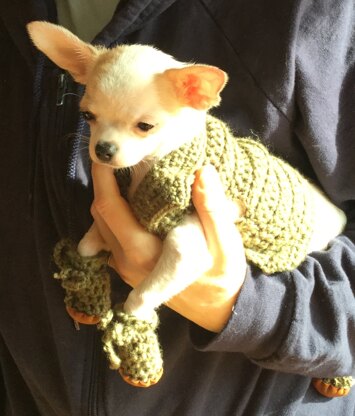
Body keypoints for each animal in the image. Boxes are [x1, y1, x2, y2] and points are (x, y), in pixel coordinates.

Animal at [27, 22, 348, 322]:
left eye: (145, 126)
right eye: (87, 116)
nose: (103, 149)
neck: (153, 167)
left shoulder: (189, 246)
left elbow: (150, 286)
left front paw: (135, 312)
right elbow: (88, 241)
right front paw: (86, 251)